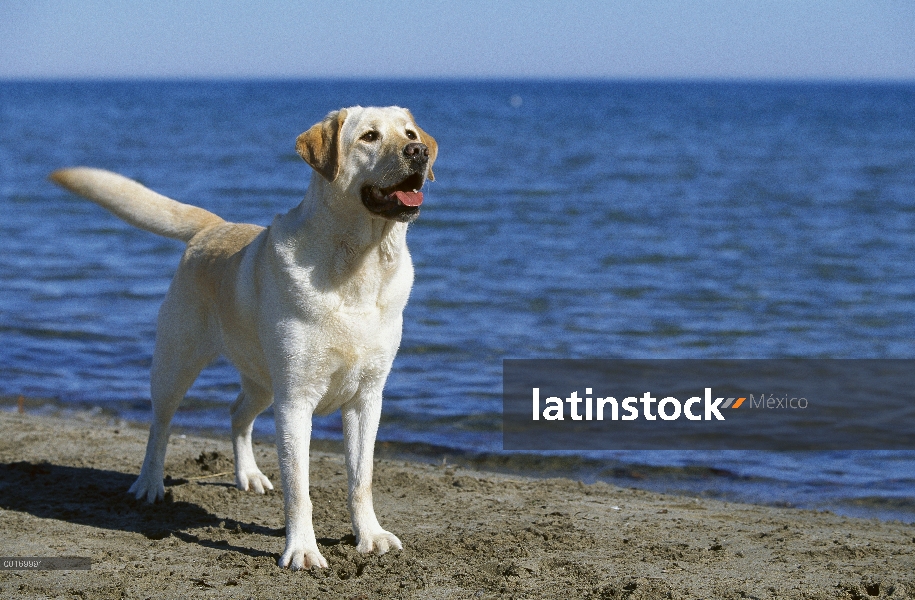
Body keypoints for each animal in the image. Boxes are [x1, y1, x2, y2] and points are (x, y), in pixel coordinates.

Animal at [51, 105, 440, 568]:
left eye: (410, 134)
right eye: (369, 136)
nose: (418, 153)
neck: (359, 266)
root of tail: (214, 227)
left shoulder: (367, 397)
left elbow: (361, 479)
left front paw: (370, 536)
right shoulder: (295, 400)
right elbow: (299, 489)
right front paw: (302, 550)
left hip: (262, 381)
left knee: (237, 411)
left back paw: (248, 475)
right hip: (177, 363)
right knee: (160, 425)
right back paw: (149, 484)